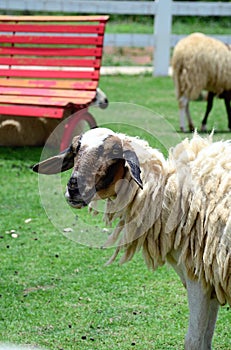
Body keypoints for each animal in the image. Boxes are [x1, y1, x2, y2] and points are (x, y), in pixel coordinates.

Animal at [33, 129, 231, 350]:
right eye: (76, 149)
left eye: (114, 152)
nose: (74, 188)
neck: (168, 195)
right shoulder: (211, 280)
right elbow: (205, 338)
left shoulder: (198, 276)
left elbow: (194, 341)